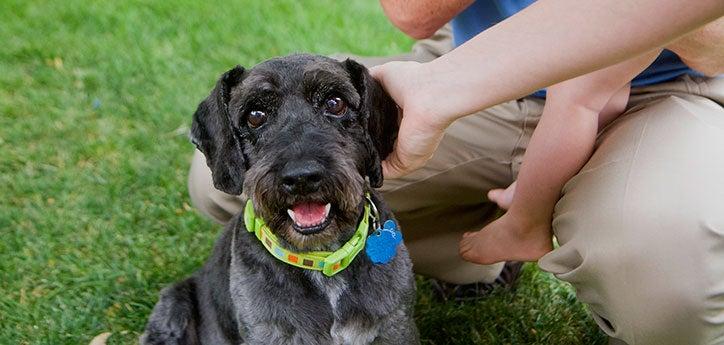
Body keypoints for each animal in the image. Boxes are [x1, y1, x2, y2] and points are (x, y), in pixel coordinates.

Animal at [141, 54, 418, 344]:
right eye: (255, 116)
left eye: (335, 103)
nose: (301, 177)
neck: (321, 260)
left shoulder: (395, 327)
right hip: (172, 308)